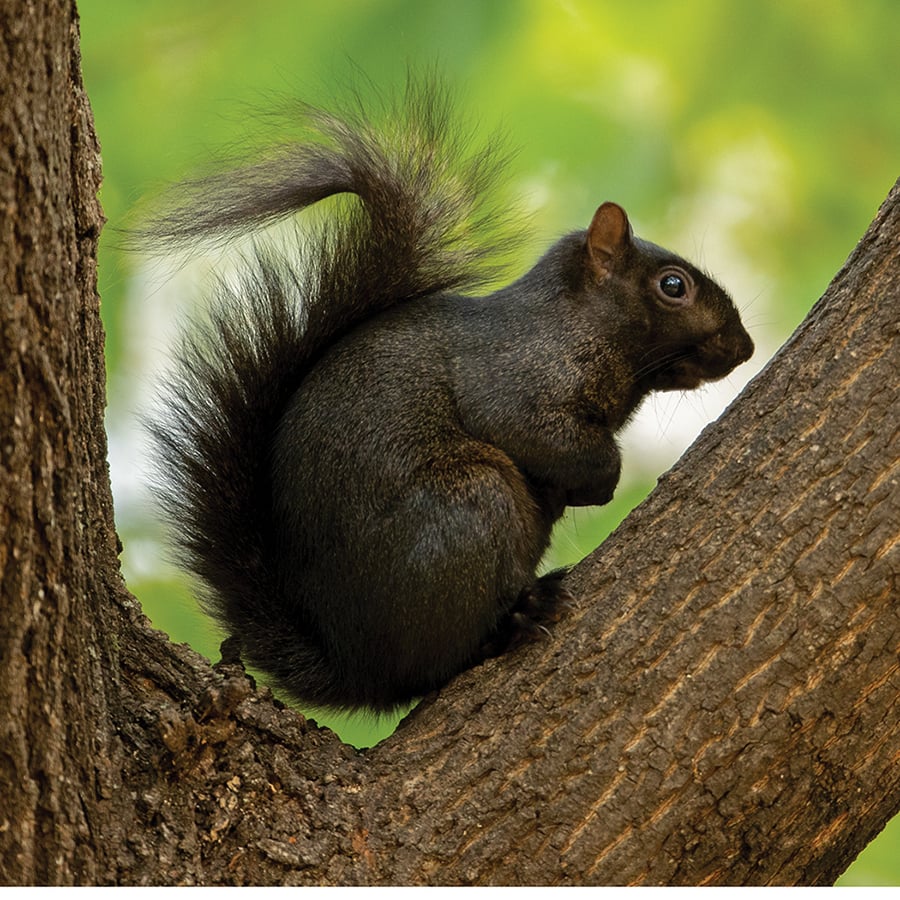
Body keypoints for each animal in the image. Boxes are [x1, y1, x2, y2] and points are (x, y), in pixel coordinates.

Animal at [148, 78, 754, 712]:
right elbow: (540, 436)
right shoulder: (512, 379)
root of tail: (356, 668)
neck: (576, 327)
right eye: (673, 286)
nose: (745, 347)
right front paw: (601, 481)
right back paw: (516, 619)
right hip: (471, 504)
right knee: (441, 661)